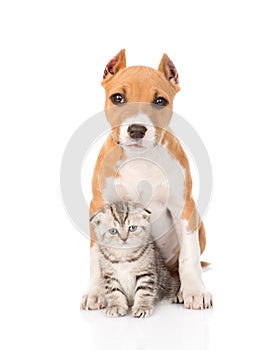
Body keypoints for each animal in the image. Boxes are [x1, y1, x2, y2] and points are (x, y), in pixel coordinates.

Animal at [79, 48, 211, 308]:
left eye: (160, 101)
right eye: (118, 98)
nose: (137, 129)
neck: (139, 158)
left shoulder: (183, 206)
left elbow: (189, 255)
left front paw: (194, 291)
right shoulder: (99, 205)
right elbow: (95, 256)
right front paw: (96, 291)